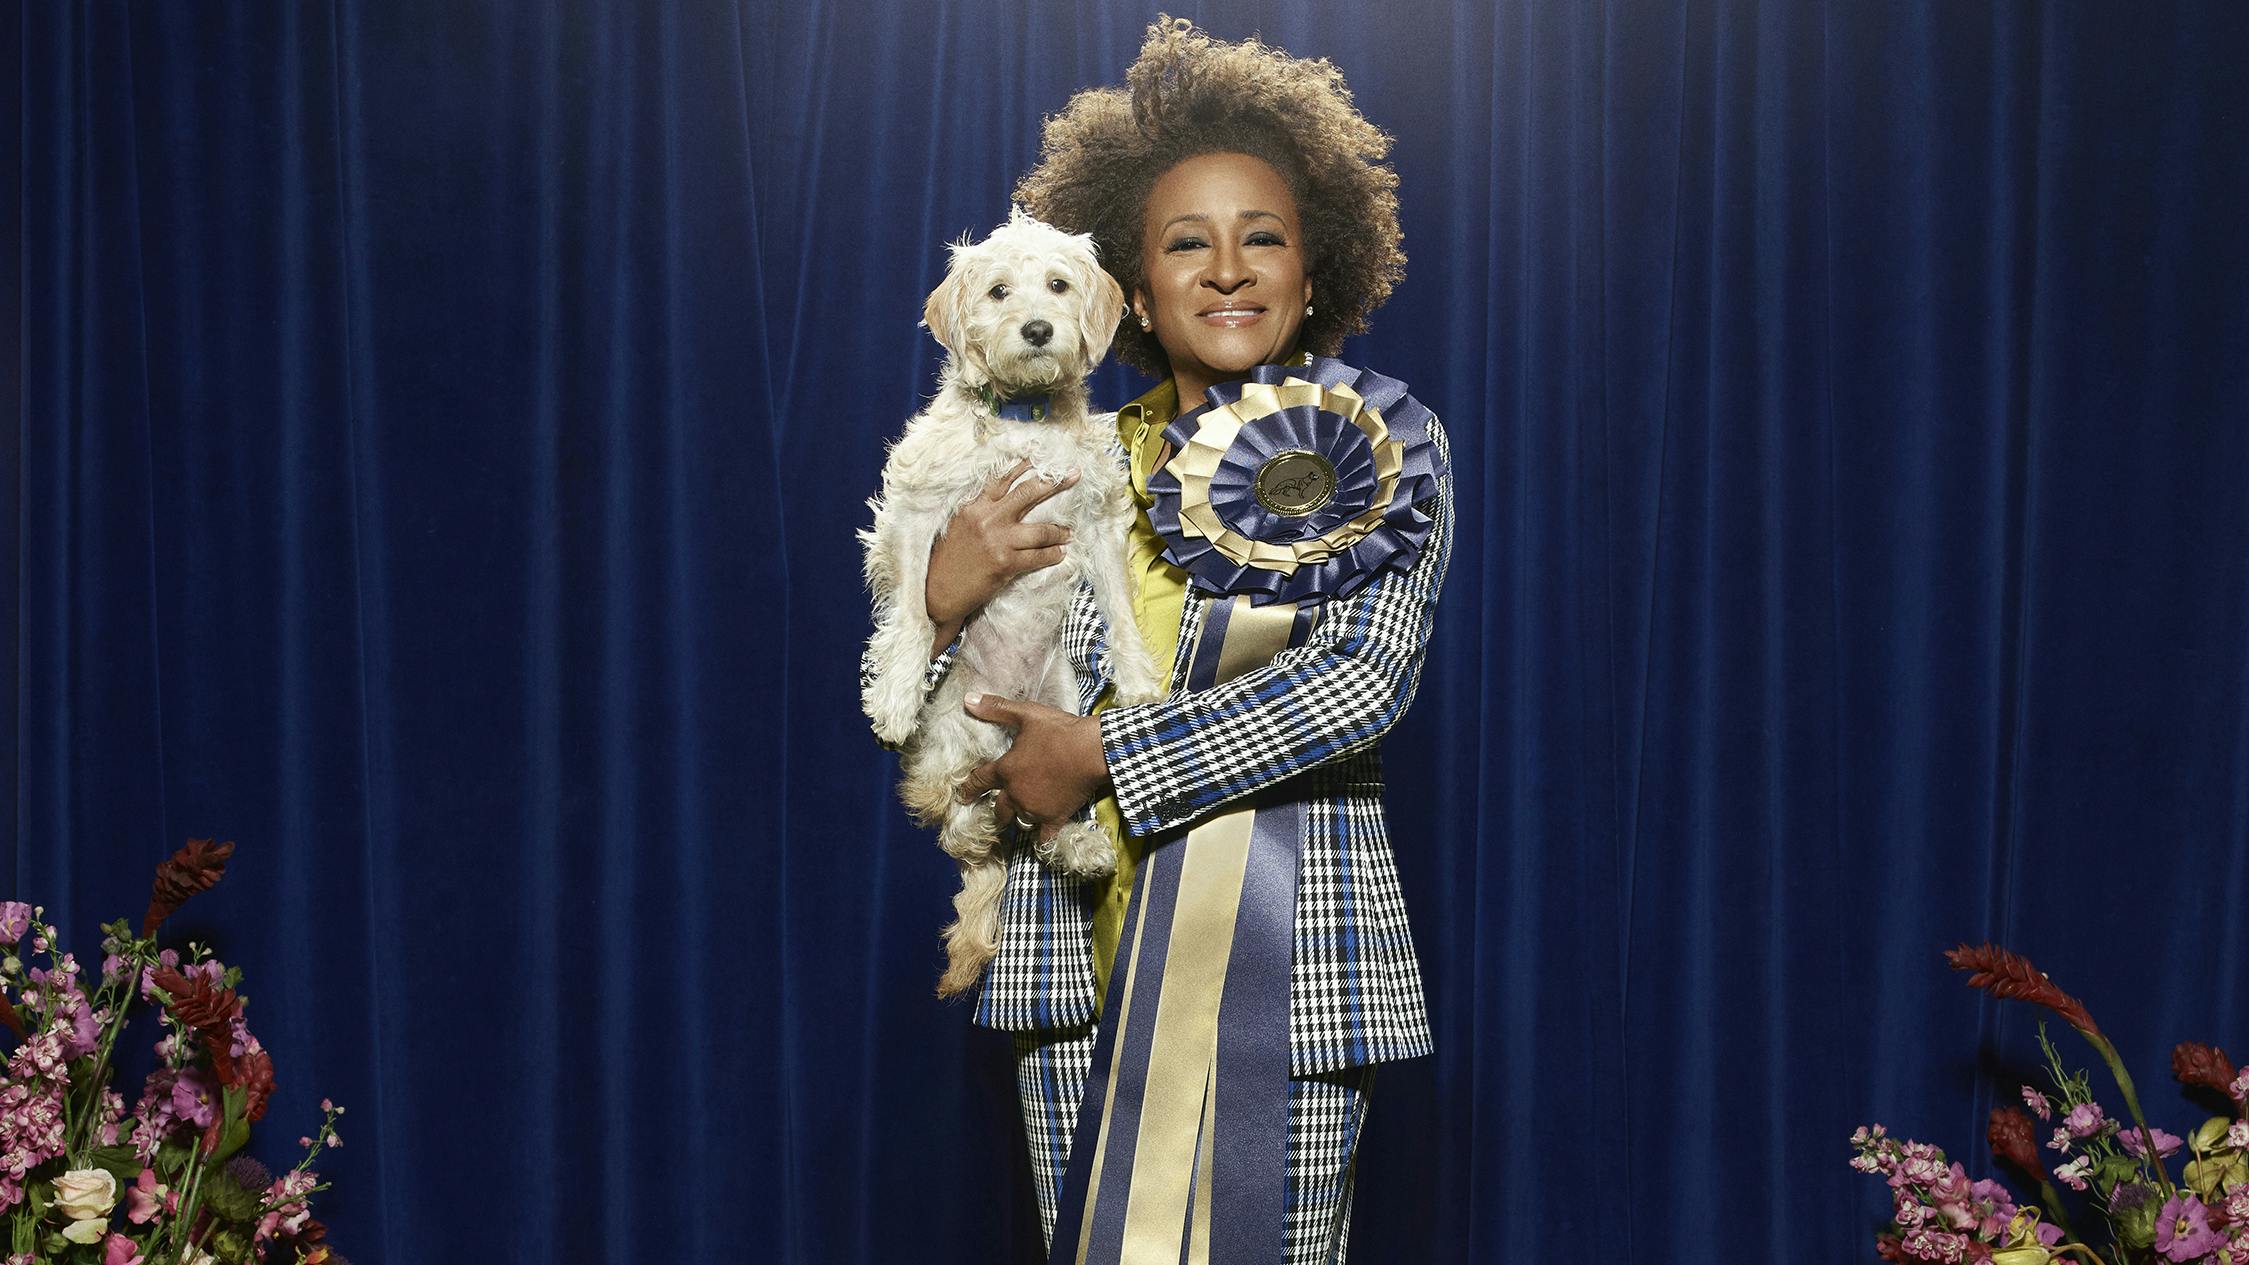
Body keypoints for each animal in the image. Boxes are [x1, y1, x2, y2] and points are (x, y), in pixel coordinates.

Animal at [859, 209, 1169, 994]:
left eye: (1057, 285)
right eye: (998, 291)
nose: (1035, 328)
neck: (1023, 418)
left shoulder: (1097, 519)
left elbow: (1122, 610)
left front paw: (1141, 683)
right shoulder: (918, 508)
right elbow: (914, 612)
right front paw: (895, 692)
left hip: (1056, 724)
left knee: (1028, 821)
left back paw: (1078, 844)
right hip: (947, 748)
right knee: (962, 827)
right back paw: (972, 819)